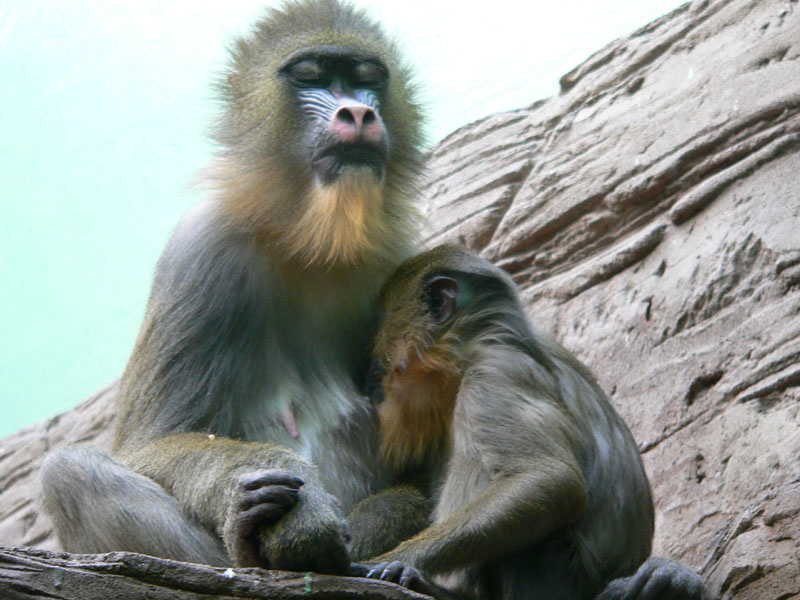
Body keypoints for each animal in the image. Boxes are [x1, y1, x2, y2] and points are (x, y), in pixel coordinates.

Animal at [39, 0, 428, 575]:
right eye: (309, 77)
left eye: (366, 80)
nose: (357, 114)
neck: (314, 245)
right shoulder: (201, 249)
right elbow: (153, 442)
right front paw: (281, 501)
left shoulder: (405, 265)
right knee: (68, 473)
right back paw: (247, 546)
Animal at [353, 245, 713, 600]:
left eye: (382, 322)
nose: (371, 364)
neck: (496, 335)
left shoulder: (496, 373)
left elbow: (550, 481)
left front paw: (395, 562)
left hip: (552, 568)